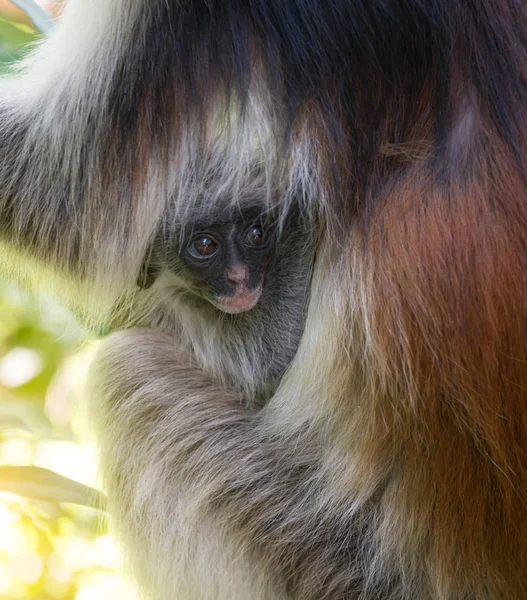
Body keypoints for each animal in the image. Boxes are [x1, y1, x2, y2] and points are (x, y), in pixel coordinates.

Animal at [1, 0, 527, 596]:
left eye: (255, 236)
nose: (238, 281)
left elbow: (62, 206)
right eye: (206, 246)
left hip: (318, 551)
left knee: (126, 369)